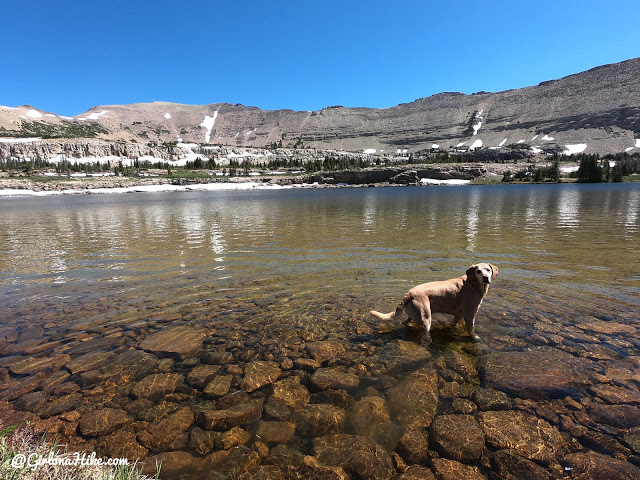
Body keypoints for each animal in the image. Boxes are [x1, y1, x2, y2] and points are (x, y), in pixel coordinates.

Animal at [368, 264, 498, 340]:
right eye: (478, 271)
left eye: (488, 270)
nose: (486, 278)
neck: (472, 283)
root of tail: (408, 294)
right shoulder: (470, 315)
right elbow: (471, 330)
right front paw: (475, 337)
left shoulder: (458, 315)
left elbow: (455, 324)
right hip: (426, 318)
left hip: (413, 314)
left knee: (406, 322)